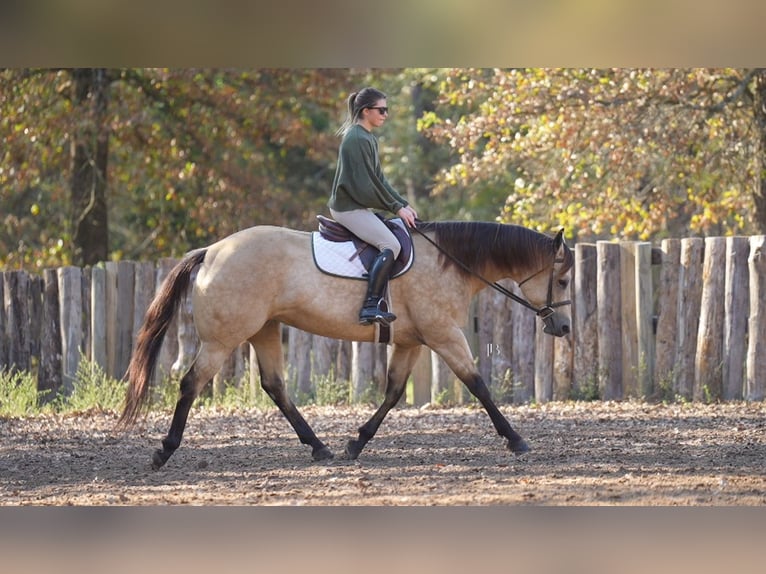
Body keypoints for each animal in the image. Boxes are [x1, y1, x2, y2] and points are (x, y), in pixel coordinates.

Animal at [118, 220, 574, 470]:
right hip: (223, 338)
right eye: (564, 279)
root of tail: (212, 250)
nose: (565, 327)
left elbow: (392, 392)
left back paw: (319, 448)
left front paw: (356, 443)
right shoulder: (444, 334)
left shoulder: (411, 342)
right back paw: (164, 451)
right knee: (191, 384)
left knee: (275, 386)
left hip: (264, 330)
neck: (450, 263)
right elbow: (477, 383)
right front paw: (516, 440)